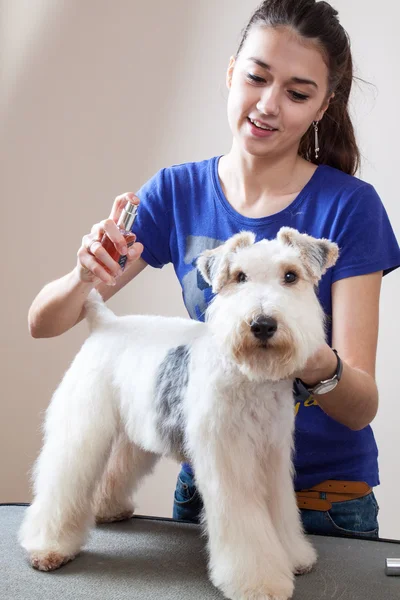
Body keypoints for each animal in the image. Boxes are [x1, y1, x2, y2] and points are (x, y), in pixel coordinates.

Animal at [18, 226, 338, 600]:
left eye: (291, 276)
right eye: (240, 276)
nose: (262, 324)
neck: (249, 377)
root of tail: (105, 322)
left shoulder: (271, 456)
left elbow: (282, 514)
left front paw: (293, 556)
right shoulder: (230, 460)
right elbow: (247, 526)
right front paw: (259, 582)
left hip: (135, 433)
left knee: (115, 470)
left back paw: (107, 508)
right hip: (82, 426)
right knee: (62, 483)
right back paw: (47, 547)